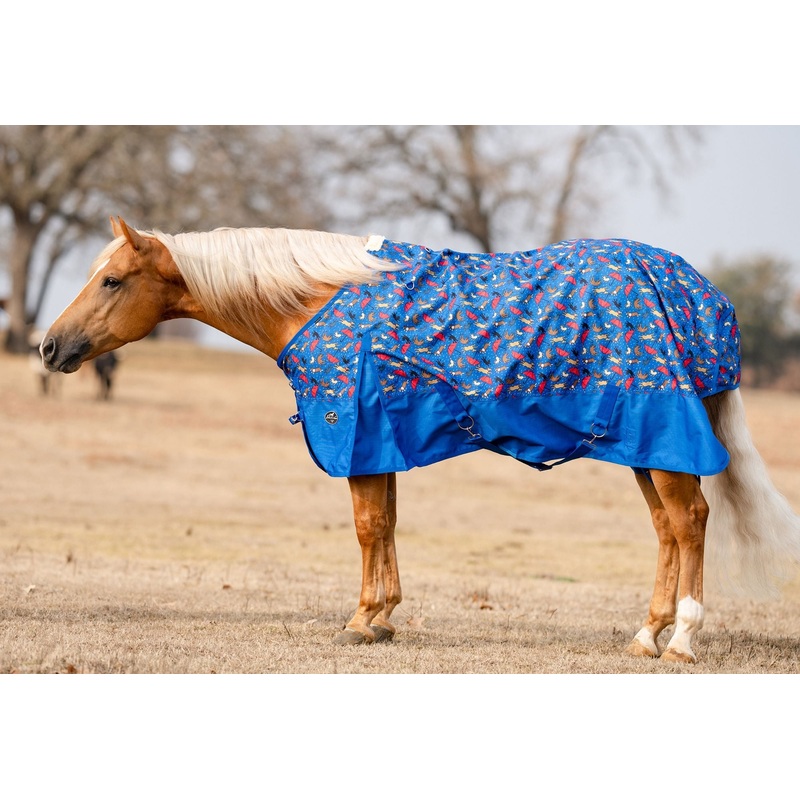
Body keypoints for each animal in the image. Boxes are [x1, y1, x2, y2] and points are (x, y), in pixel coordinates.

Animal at [40, 217, 800, 664]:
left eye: (111, 279)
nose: (49, 347)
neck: (320, 299)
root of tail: (702, 293)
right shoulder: (383, 442)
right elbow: (386, 524)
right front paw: (383, 618)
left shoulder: (358, 435)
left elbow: (367, 526)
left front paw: (361, 621)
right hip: (644, 446)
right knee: (669, 529)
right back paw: (646, 635)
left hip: (664, 436)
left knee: (691, 522)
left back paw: (684, 640)